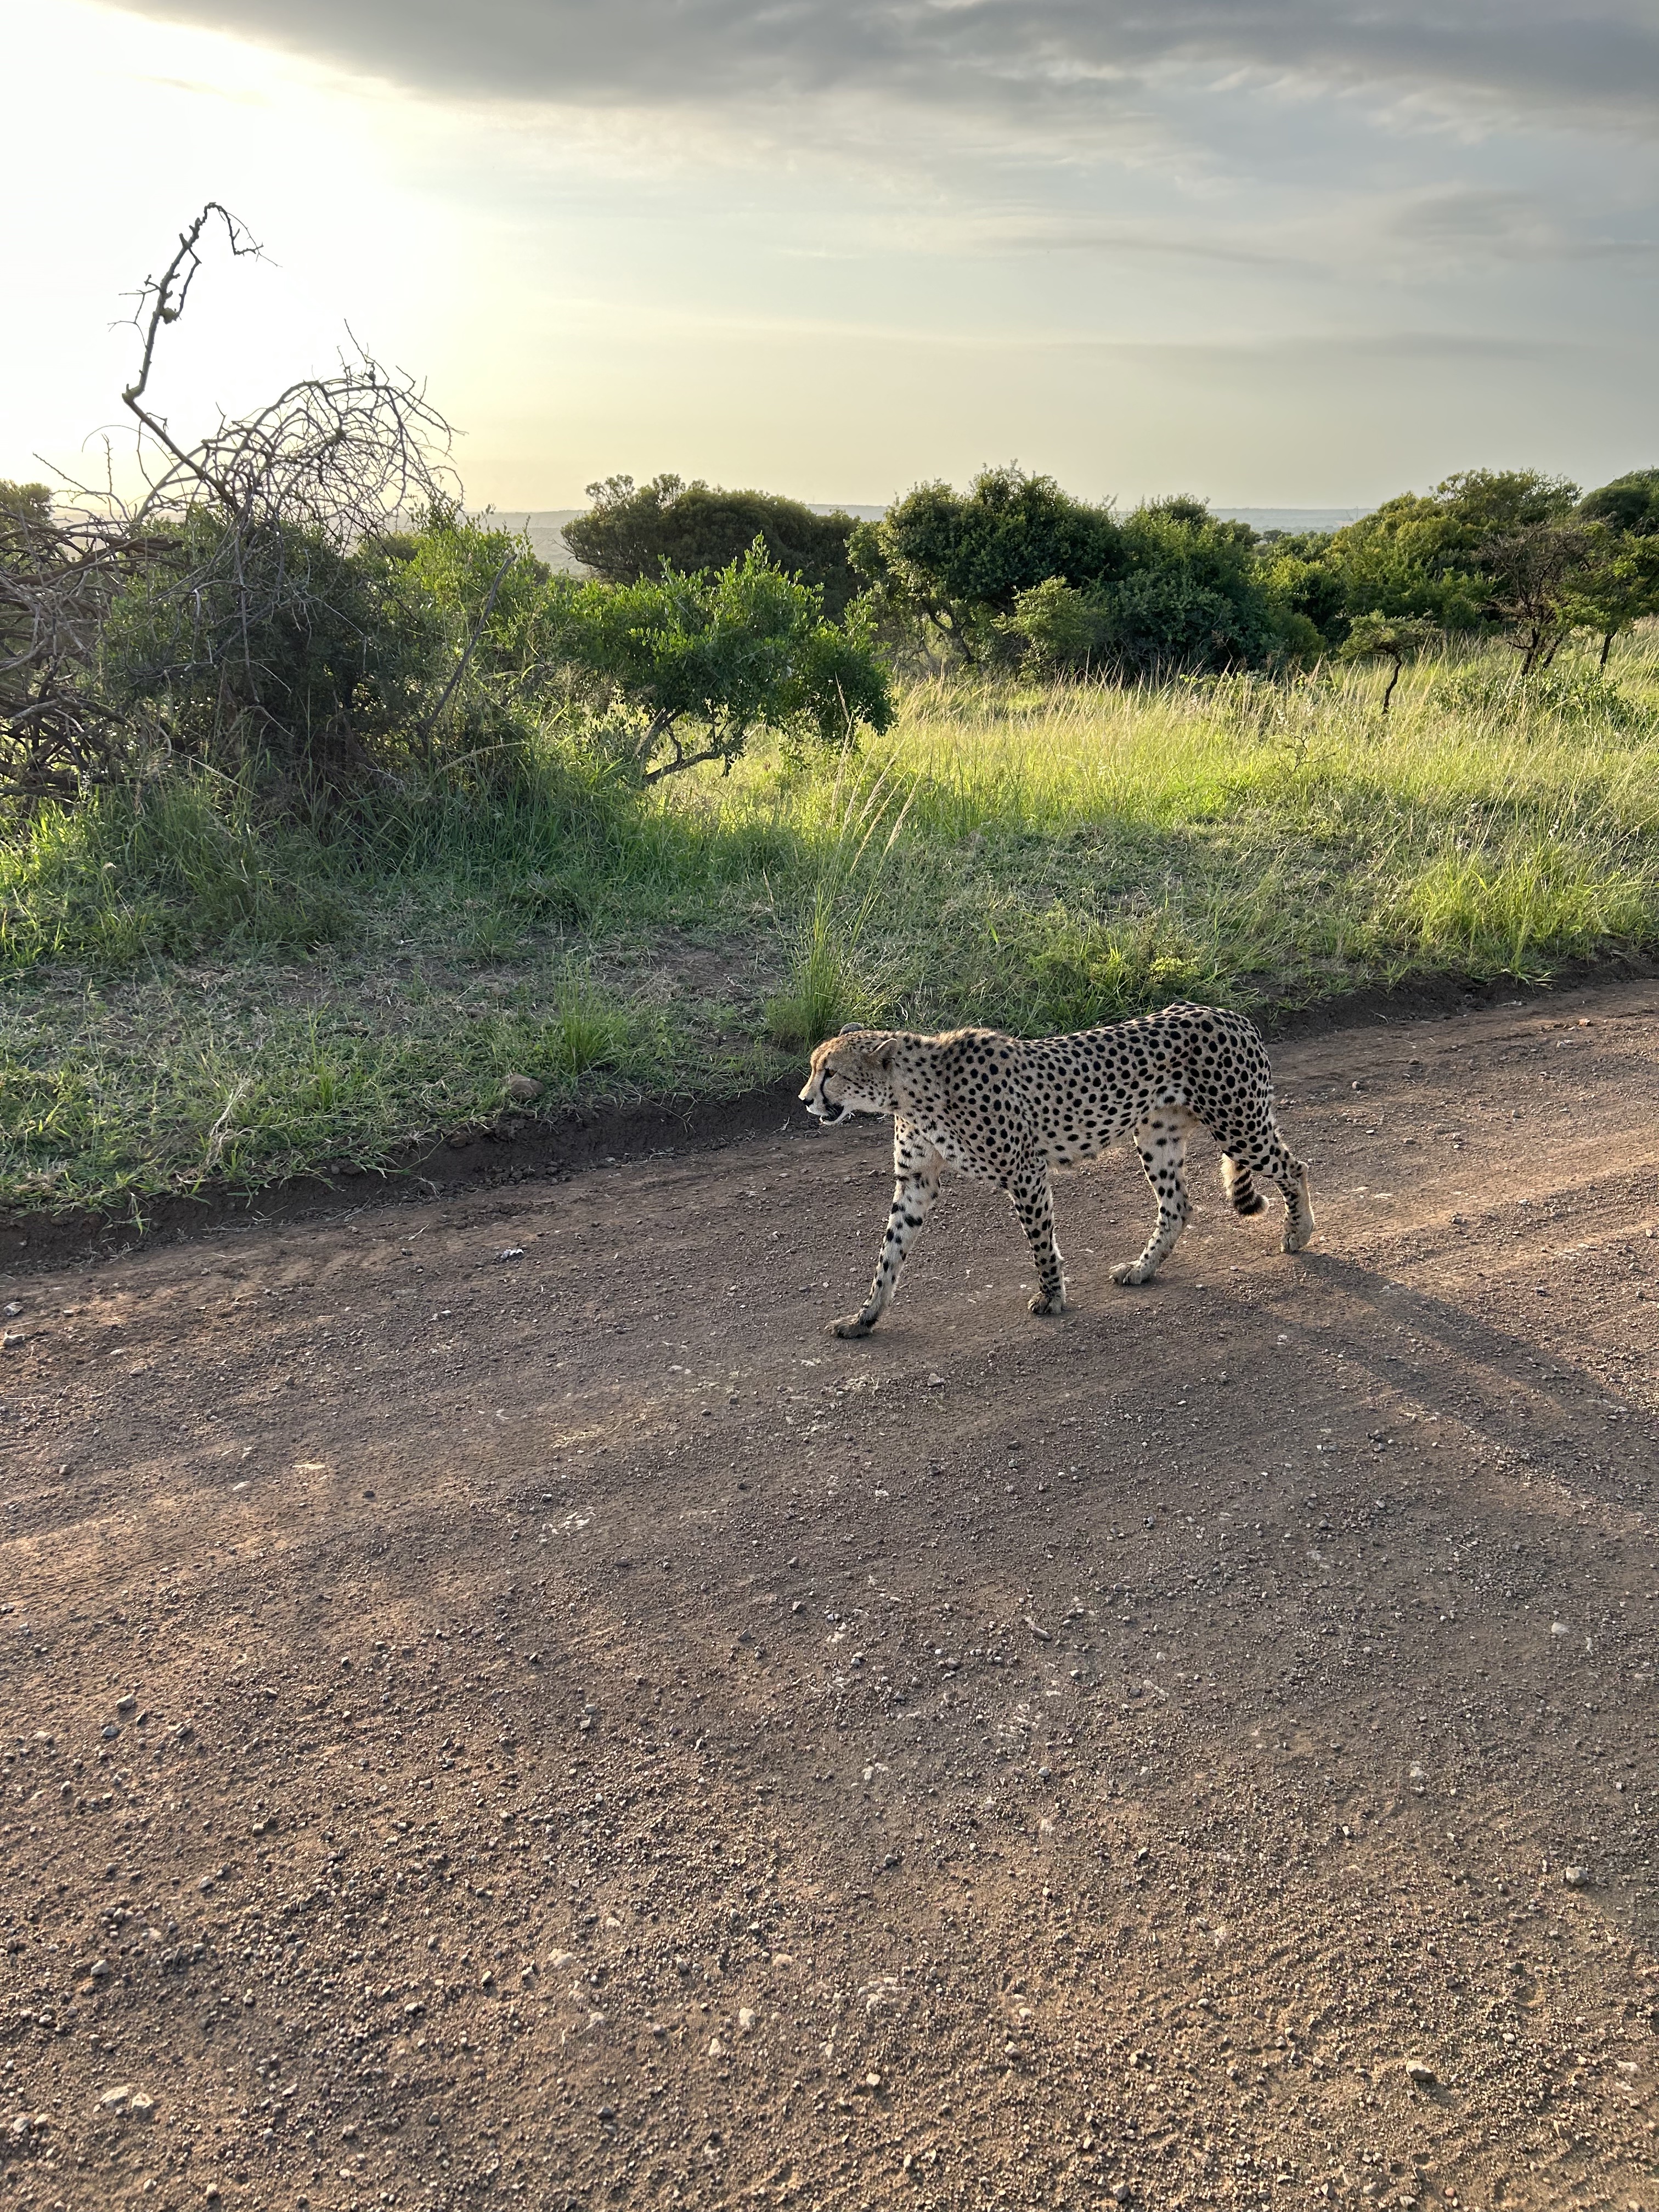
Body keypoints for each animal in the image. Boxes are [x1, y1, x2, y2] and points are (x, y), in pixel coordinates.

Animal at [798, 1001, 1313, 1337]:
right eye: (813, 1068)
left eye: (831, 1073)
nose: (804, 1100)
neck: (911, 1091)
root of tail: (1230, 1014)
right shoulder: (916, 1183)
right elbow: (889, 1256)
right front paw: (864, 1317)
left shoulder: (1025, 1171)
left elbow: (1041, 1243)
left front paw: (1052, 1297)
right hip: (1157, 1136)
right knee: (1179, 1205)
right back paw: (1143, 1270)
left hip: (1239, 1126)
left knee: (1296, 1166)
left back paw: (1299, 1233)